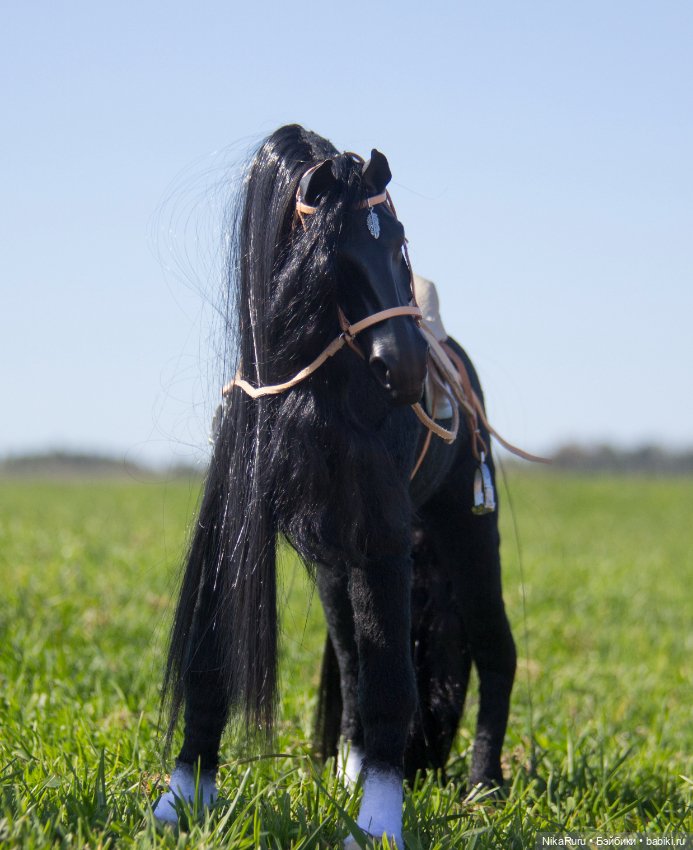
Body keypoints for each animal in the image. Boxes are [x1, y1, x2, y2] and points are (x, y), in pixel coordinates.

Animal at [153, 124, 518, 848]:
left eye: (396, 237)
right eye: (335, 252)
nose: (405, 370)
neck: (312, 393)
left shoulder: (382, 541)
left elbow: (392, 687)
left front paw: (378, 824)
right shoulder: (241, 525)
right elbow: (210, 665)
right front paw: (179, 800)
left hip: (467, 530)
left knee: (495, 648)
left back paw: (484, 788)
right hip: (332, 562)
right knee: (350, 659)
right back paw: (349, 774)